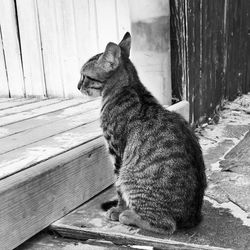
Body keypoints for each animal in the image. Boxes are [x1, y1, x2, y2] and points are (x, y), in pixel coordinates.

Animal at [77, 32, 207, 233]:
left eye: (85, 76)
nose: (77, 86)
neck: (128, 88)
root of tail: (191, 217)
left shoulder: (117, 152)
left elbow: (118, 188)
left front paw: (118, 209)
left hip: (130, 175)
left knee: (166, 225)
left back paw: (128, 215)